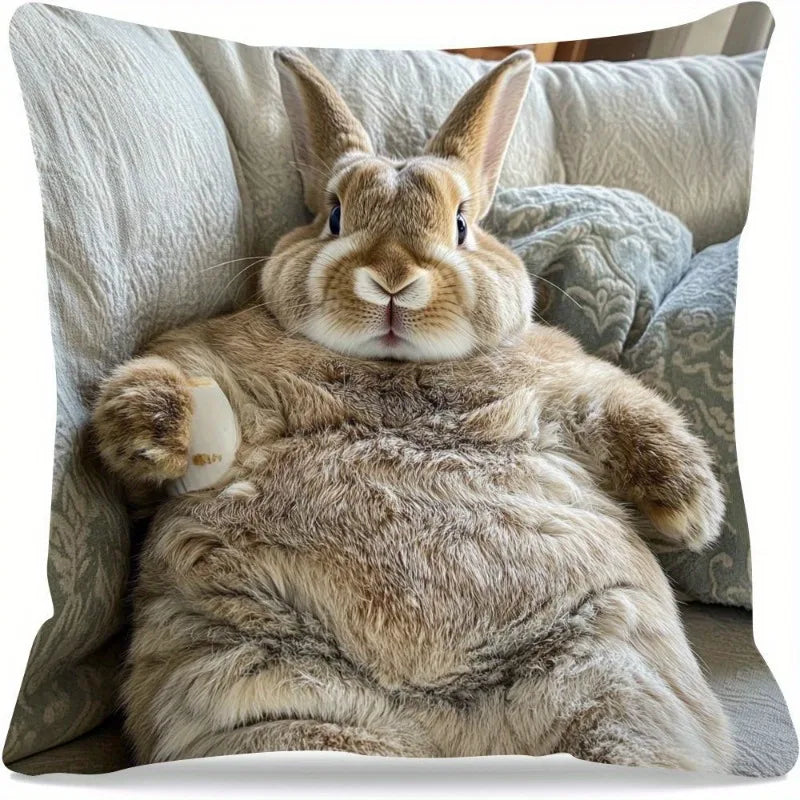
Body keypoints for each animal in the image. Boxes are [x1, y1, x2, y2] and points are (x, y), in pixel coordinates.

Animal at [92, 49, 733, 772]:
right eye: (335, 215)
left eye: (461, 224)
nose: (393, 279)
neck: (397, 369)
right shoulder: (209, 356)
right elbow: (170, 378)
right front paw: (151, 432)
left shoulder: (572, 381)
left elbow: (634, 414)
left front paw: (692, 515)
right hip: (273, 696)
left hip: (609, 677)